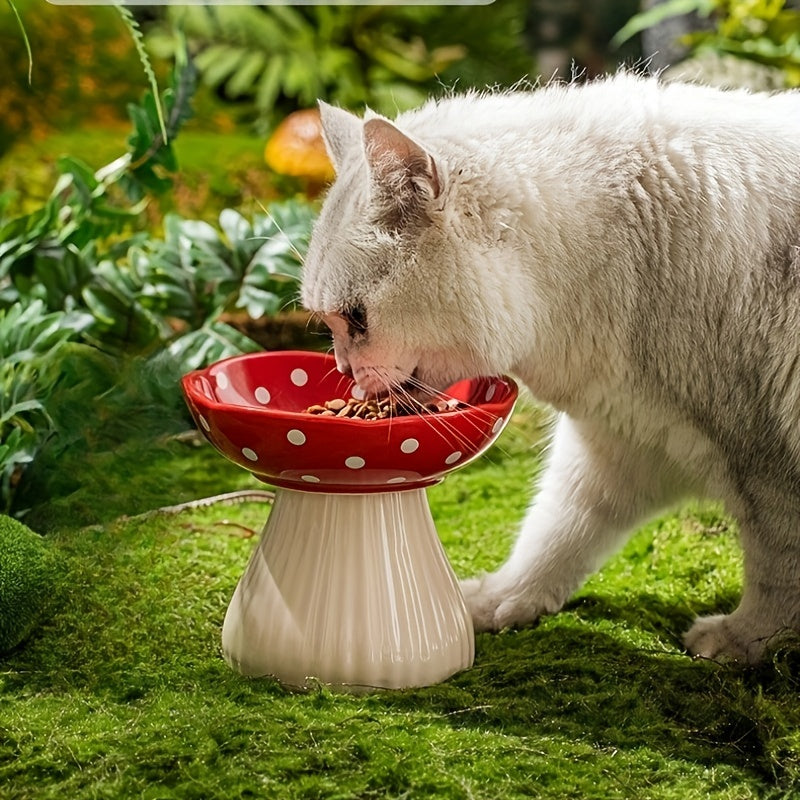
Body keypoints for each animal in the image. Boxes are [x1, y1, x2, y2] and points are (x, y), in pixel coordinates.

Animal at [298, 73, 800, 664]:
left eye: (356, 318)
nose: (346, 374)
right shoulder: (616, 443)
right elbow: (557, 535)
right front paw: (499, 601)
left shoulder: (766, 466)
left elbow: (776, 573)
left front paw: (746, 640)